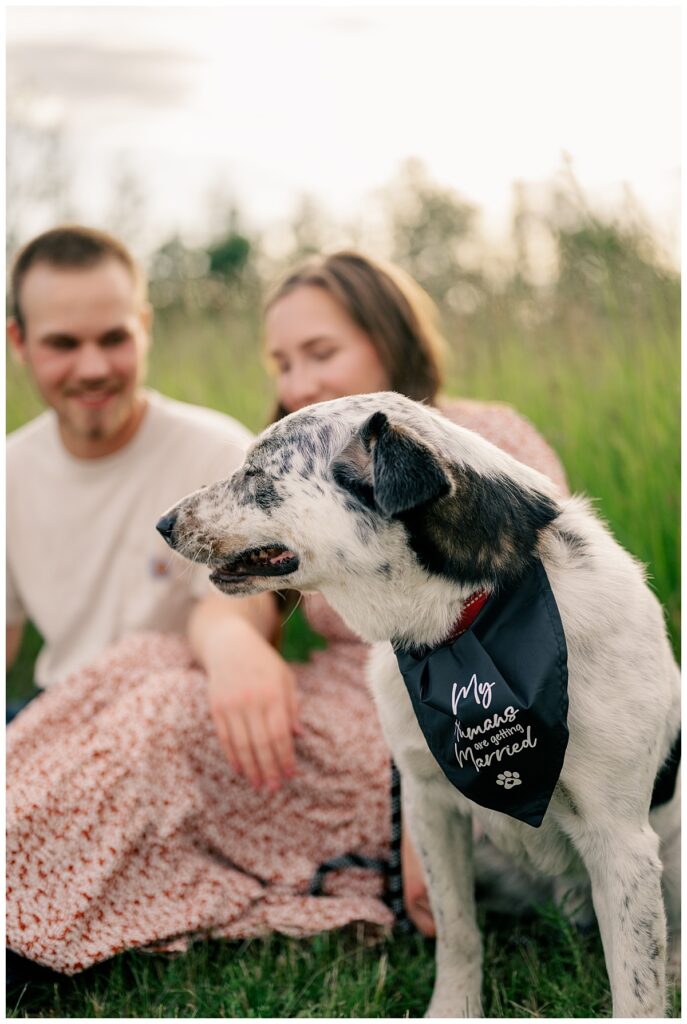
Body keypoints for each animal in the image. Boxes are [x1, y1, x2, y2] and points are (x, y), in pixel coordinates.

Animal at [158, 391, 679, 1015]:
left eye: (257, 473)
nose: (162, 524)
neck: (468, 621)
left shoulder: (621, 842)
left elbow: (636, 989)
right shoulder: (429, 803)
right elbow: (457, 932)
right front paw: (455, 1008)